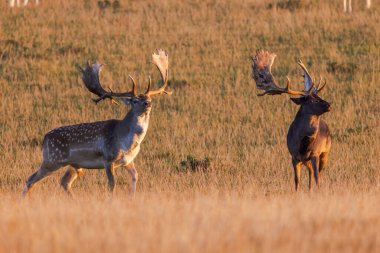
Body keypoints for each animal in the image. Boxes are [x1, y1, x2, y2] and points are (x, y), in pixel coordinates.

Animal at [22, 48, 172, 197]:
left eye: (148, 98)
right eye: (135, 101)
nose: (148, 103)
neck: (127, 142)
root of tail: (45, 138)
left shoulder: (128, 161)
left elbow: (136, 176)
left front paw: (131, 197)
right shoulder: (108, 158)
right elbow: (112, 184)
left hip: (73, 164)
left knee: (64, 182)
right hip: (52, 159)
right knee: (30, 179)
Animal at [252, 50, 332, 191]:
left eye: (319, 96)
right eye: (313, 100)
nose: (329, 105)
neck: (303, 144)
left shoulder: (315, 153)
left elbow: (316, 178)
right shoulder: (294, 157)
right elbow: (297, 180)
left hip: (325, 152)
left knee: (318, 173)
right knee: (310, 171)